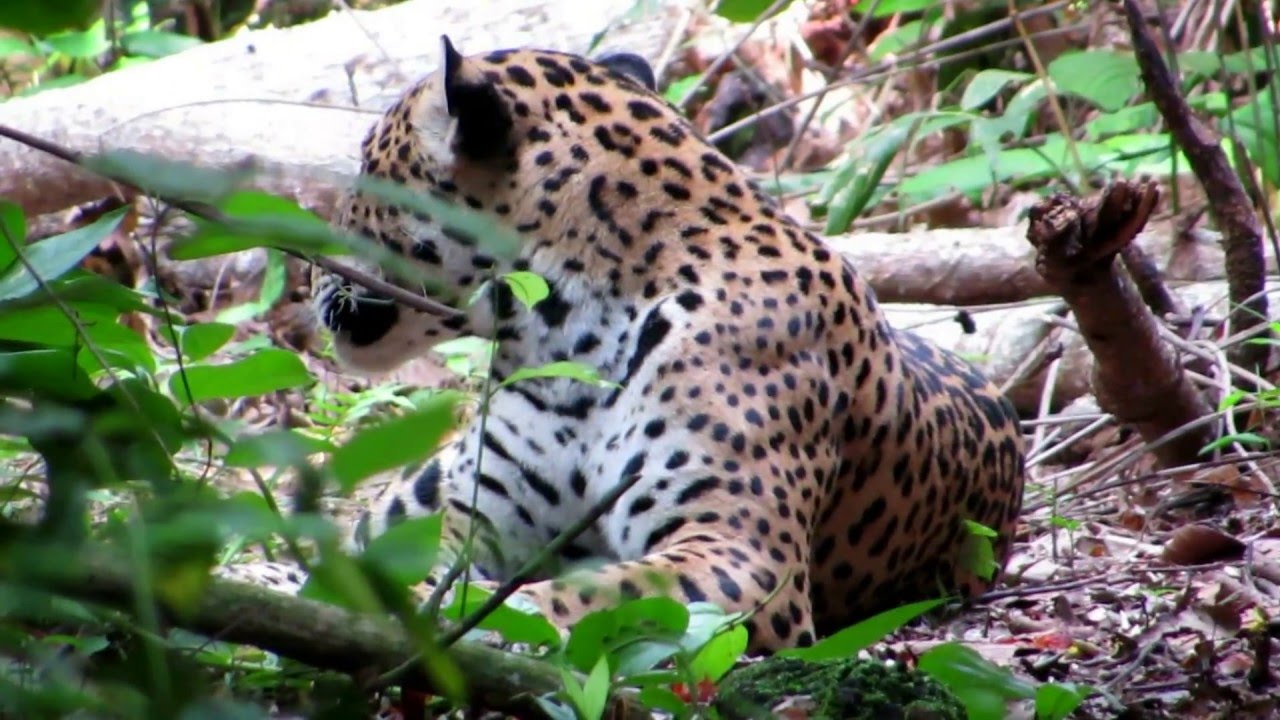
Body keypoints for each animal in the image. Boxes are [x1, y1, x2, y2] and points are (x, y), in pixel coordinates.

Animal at [232, 35, 1026, 654]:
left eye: (369, 169)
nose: (306, 269)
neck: (563, 335)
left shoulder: (744, 559)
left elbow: (579, 598)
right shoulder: (470, 520)